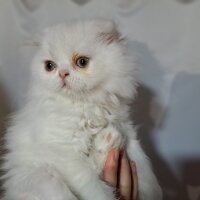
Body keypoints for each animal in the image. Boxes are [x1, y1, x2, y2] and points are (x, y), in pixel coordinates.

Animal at [1, 19, 162, 200]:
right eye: (50, 66)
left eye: (82, 62)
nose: (62, 74)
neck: (87, 105)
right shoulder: (65, 152)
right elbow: (95, 188)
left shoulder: (126, 129)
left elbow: (144, 169)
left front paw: (150, 193)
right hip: (42, 176)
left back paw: (108, 139)